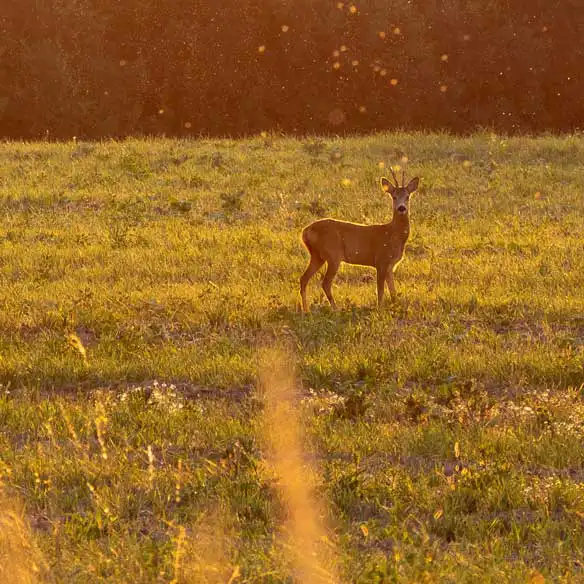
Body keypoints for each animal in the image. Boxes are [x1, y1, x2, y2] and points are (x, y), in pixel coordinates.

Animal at [302, 169, 420, 312]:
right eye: (394, 197)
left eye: (408, 196)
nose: (401, 208)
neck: (393, 235)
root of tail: (304, 232)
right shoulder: (381, 260)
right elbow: (380, 290)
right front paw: (379, 310)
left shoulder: (390, 265)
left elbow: (393, 292)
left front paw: (396, 308)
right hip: (333, 255)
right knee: (325, 283)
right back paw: (336, 309)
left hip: (317, 256)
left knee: (304, 279)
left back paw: (305, 310)